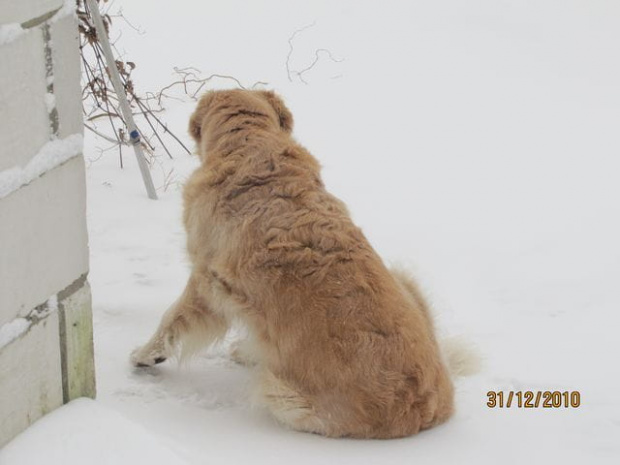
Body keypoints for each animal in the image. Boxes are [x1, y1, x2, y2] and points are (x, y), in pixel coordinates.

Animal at [133, 89, 456, 436]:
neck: (250, 140)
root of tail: (433, 409)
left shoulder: (206, 277)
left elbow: (171, 317)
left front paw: (145, 356)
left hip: (284, 396)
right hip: (402, 279)